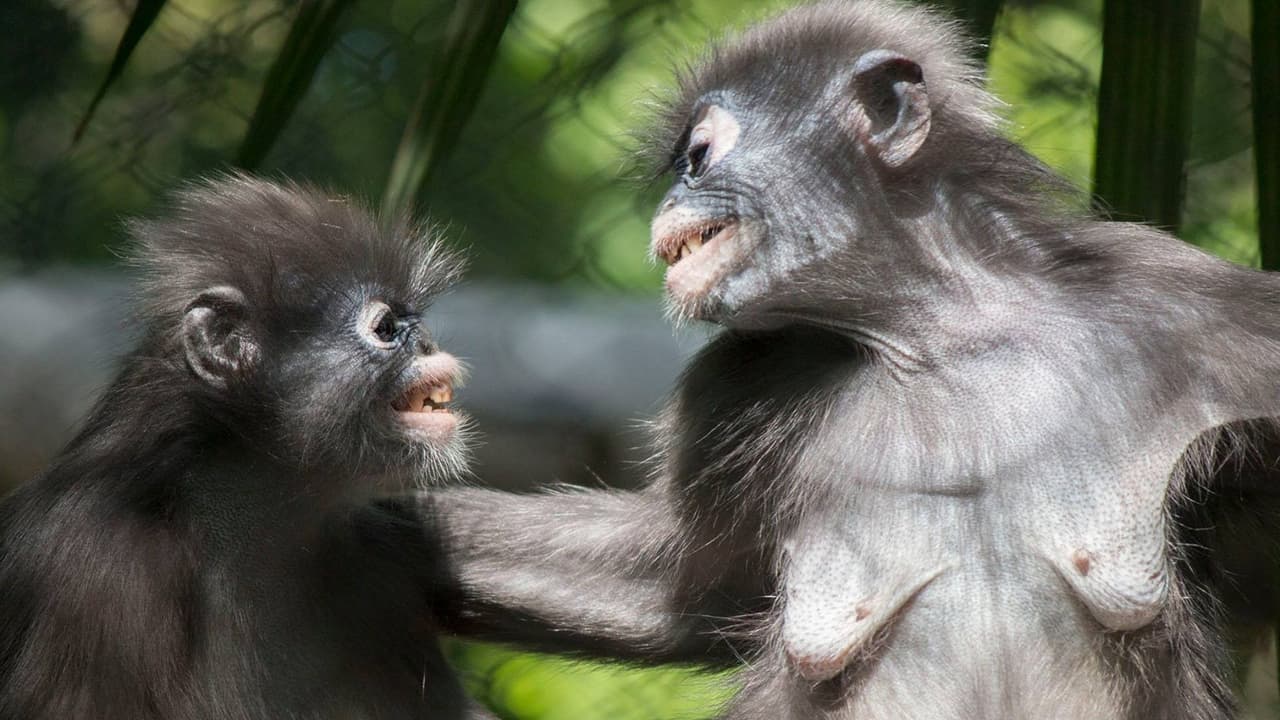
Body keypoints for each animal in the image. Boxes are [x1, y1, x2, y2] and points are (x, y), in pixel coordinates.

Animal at [415, 2, 1280, 718]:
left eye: (699, 155)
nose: (669, 201)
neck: (935, 339)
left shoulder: (1189, 306)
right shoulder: (735, 381)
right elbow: (668, 593)